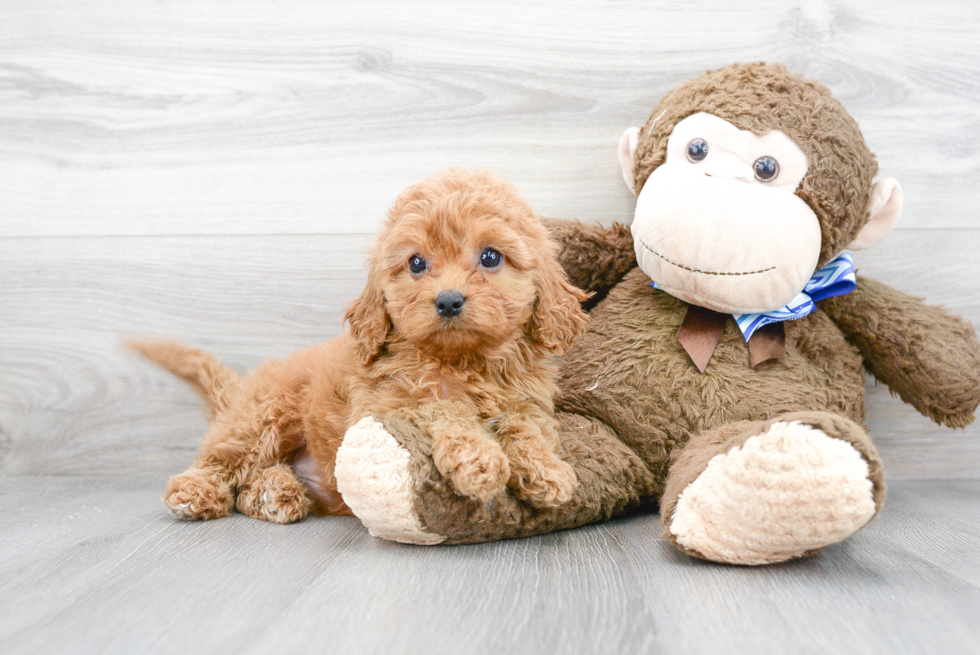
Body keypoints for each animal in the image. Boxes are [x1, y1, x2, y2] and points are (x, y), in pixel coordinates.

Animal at [133, 170, 584, 528]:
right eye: (416, 263)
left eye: (490, 257)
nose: (448, 301)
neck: (465, 360)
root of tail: (241, 390)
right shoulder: (388, 404)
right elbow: (446, 408)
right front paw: (480, 460)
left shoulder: (528, 404)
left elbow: (524, 428)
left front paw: (547, 470)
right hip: (264, 415)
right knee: (222, 459)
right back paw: (196, 492)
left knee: (250, 487)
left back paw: (277, 493)